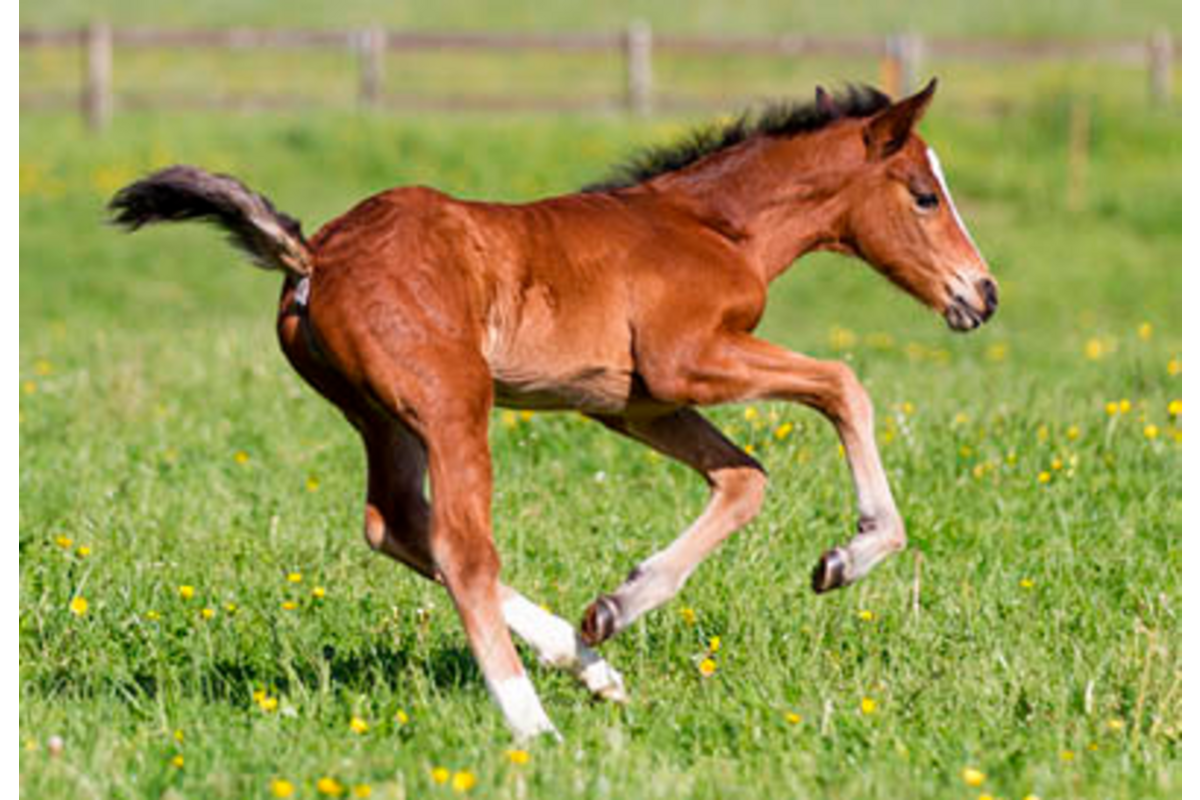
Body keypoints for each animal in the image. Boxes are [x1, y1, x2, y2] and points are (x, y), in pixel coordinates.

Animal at [109, 79, 996, 740]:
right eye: (925, 196)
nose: (981, 295)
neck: (713, 227)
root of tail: (314, 257)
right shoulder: (687, 361)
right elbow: (844, 384)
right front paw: (854, 553)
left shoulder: (634, 404)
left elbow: (745, 479)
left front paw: (615, 607)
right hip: (453, 405)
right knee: (461, 547)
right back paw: (532, 723)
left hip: (381, 416)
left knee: (396, 522)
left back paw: (591, 667)